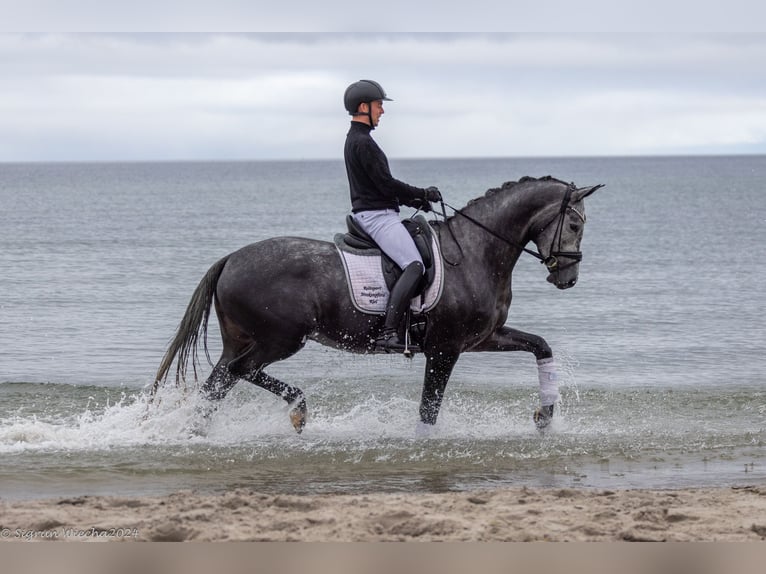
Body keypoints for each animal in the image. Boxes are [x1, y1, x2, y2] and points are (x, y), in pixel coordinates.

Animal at [153, 178, 604, 434]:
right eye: (575, 224)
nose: (568, 278)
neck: (475, 251)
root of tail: (231, 258)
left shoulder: (482, 338)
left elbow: (540, 345)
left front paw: (545, 418)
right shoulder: (445, 348)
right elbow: (429, 409)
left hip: (245, 339)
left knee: (218, 383)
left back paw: (197, 434)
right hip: (280, 339)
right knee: (238, 372)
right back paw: (298, 410)